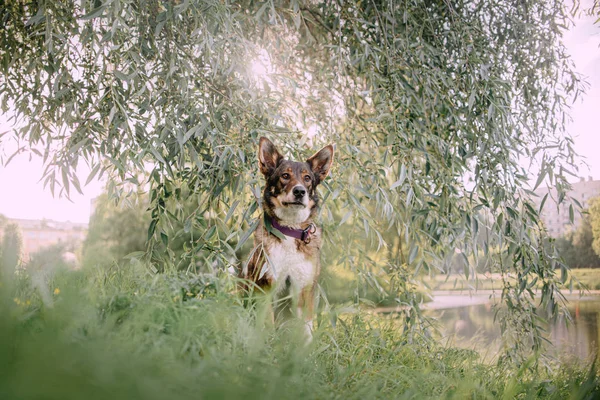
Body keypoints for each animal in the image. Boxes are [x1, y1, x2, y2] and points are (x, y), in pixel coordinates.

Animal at [244, 137, 336, 338]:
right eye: (285, 176)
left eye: (307, 178)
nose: (300, 191)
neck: (289, 230)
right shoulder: (266, 286)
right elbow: (266, 324)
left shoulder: (305, 288)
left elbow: (305, 329)